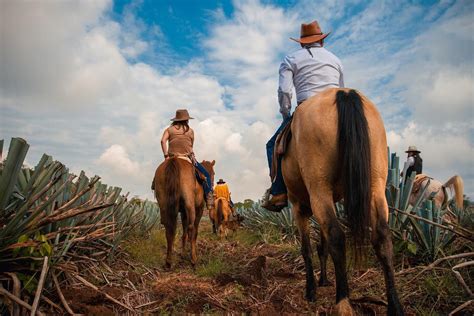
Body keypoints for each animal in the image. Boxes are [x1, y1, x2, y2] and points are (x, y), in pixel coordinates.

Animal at [282, 87, 404, 314]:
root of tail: (344, 92)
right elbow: (322, 247)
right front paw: (323, 280)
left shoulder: (297, 206)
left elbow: (307, 249)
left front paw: (311, 289)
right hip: (375, 184)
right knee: (382, 236)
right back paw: (395, 306)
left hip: (319, 187)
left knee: (337, 237)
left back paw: (343, 302)